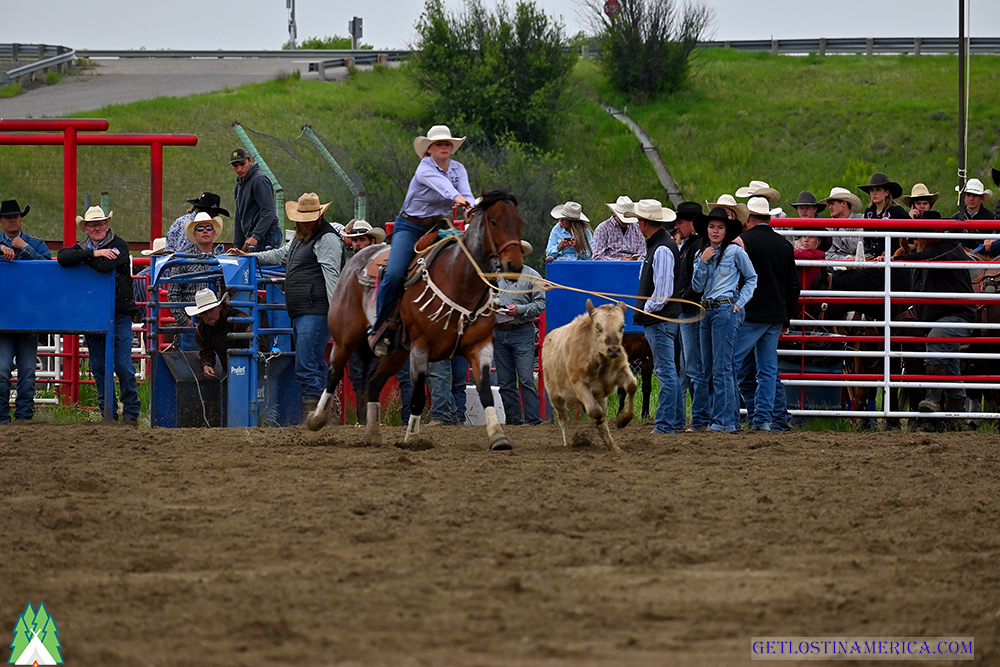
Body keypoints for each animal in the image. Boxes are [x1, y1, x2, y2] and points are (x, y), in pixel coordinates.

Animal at [306, 190, 528, 452]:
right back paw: (317, 418)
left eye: (519, 222)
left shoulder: (481, 346)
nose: (514, 265)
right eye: (494, 222)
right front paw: (412, 438)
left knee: (373, 382)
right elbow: (418, 396)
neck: (458, 278)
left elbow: (485, 392)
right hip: (345, 337)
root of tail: (354, 261)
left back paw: (373, 433)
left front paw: (498, 436)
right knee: (334, 372)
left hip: (396, 352)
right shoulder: (421, 348)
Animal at [544, 302, 636, 454]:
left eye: (621, 326)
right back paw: (567, 444)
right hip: (555, 397)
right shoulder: (579, 384)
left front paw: (623, 419)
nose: (614, 350)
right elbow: (594, 411)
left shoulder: (621, 371)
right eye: (598, 327)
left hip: (601, 398)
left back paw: (615, 448)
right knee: (563, 419)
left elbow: (632, 385)